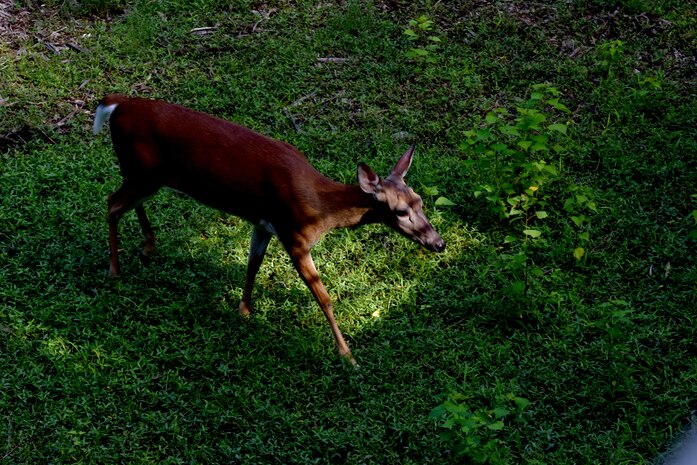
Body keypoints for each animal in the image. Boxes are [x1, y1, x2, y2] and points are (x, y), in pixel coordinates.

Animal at [93, 94, 445, 365]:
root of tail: (116, 104)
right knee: (111, 203)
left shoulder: (264, 224)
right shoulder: (295, 235)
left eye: (420, 201)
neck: (320, 204)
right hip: (143, 173)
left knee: (124, 201)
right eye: (400, 212)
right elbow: (324, 297)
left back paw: (147, 246)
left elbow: (253, 264)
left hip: (144, 175)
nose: (438, 243)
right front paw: (348, 355)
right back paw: (114, 269)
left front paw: (244, 310)